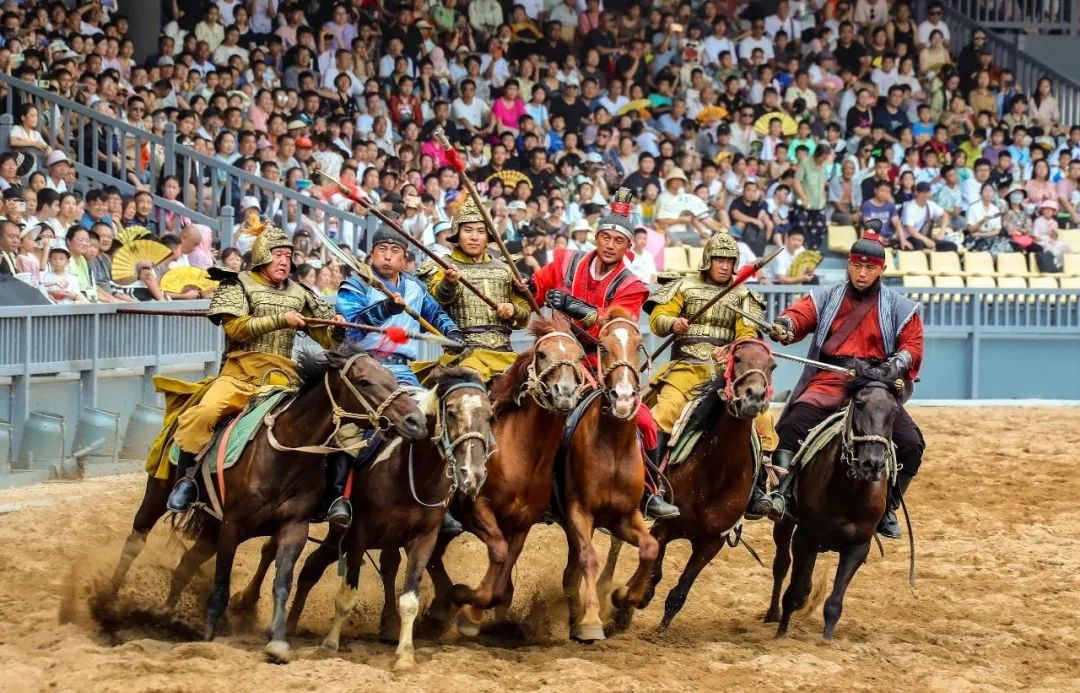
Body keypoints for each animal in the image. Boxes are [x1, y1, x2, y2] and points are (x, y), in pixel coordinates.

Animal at [108, 343, 428, 662]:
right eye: (363, 381)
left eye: (391, 376)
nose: (415, 421)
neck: (286, 454)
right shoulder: (232, 525)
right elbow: (221, 586)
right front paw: (209, 639)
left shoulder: (293, 527)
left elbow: (282, 583)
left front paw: (277, 642)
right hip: (160, 492)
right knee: (136, 540)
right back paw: (109, 603)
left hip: (211, 527)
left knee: (185, 564)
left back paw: (167, 614)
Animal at [228, 368, 493, 670]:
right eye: (450, 412)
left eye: (490, 416)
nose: (472, 474)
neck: (409, 472)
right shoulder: (358, 535)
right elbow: (346, 595)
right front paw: (330, 644)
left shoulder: (424, 539)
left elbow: (409, 600)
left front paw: (405, 655)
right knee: (275, 552)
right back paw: (247, 604)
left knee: (312, 567)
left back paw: (293, 624)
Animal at [424, 313, 587, 636]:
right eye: (542, 354)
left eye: (579, 357)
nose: (564, 393)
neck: (523, 453)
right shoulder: (477, 508)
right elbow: (497, 553)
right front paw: (467, 604)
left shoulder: (521, 524)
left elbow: (504, 572)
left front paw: (472, 608)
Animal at [603, 338, 776, 631]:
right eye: (738, 358)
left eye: (771, 365)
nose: (754, 397)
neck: (716, 474)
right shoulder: (663, 528)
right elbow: (650, 576)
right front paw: (622, 610)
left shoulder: (711, 543)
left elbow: (679, 592)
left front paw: (660, 631)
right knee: (616, 545)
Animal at [766, 368, 900, 640]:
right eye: (859, 404)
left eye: (893, 411)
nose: (872, 464)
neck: (847, 493)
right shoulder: (805, 537)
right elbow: (793, 592)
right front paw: (781, 634)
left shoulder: (859, 546)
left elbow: (834, 602)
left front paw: (827, 639)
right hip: (785, 526)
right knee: (781, 565)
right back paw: (772, 614)